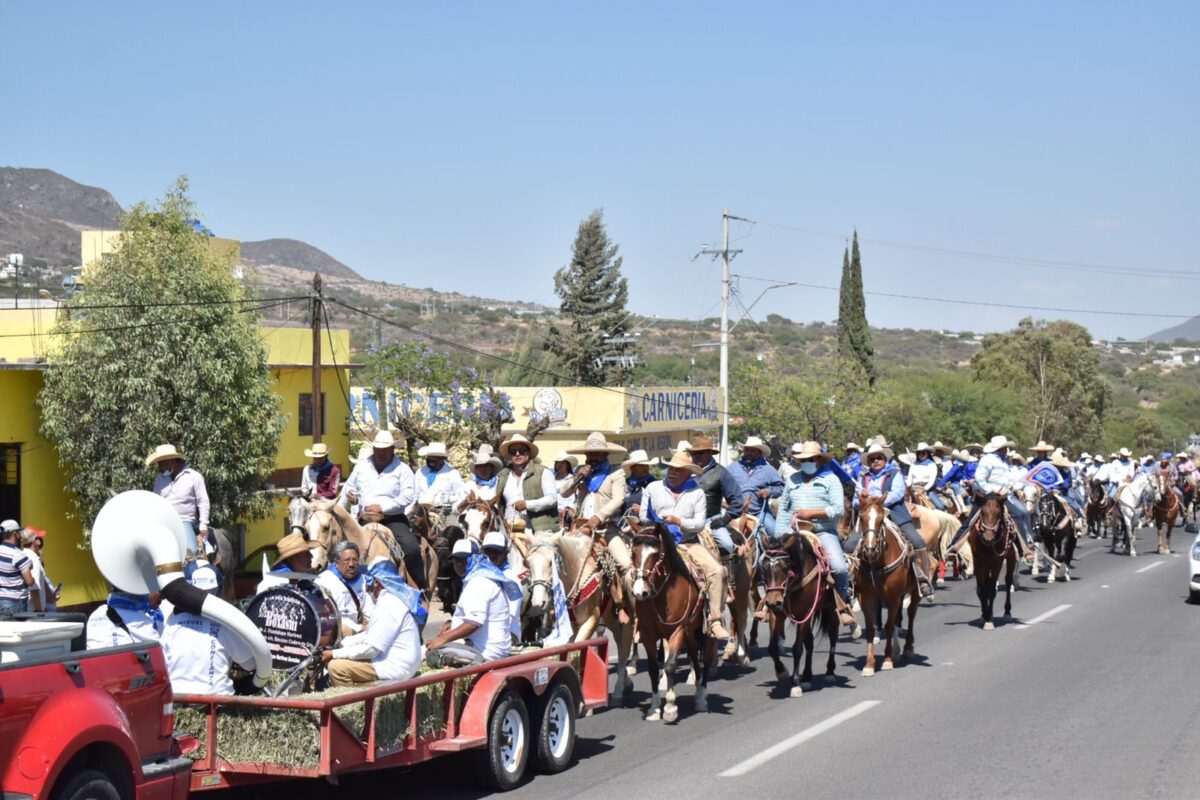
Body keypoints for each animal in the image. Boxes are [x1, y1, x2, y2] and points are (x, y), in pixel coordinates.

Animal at [628, 515, 710, 729]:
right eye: (633, 552)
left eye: (656, 554)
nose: (640, 592)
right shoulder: (648, 635)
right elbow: (653, 668)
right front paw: (655, 708)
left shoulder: (677, 631)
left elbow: (670, 665)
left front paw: (671, 708)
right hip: (690, 634)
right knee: (694, 657)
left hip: (703, 630)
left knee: (703, 659)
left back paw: (701, 698)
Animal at [763, 532, 840, 695]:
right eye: (763, 567)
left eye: (785, 567)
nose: (772, 602)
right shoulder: (777, 613)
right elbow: (772, 646)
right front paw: (782, 671)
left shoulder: (804, 613)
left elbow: (797, 648)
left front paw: (795, 683)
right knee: (810, 642)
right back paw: (807, 676)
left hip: (831, 608)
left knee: (833, 636)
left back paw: (829, 672)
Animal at [849, 494, 921, 676]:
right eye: (861, 517)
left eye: (881, 520)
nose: (870, 549)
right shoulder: (866, 596)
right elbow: (871, 628)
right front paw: (869, 664)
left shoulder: (894, 596)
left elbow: (889, 626)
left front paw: (887, 660)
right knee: (897, 618)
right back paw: (896, 650)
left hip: (914, 592)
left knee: (911, 614)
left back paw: (908, 648)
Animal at [960, 494, 1017, 633]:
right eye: (982, 512)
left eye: (997, 513)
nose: (988, 537)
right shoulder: (979, 562)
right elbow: (981, 590)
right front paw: (984, 615)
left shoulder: (997, 563)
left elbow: (991, 590)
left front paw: (989, 621)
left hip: (1011, 557)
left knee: (1008, 580)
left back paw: (1007, 612)